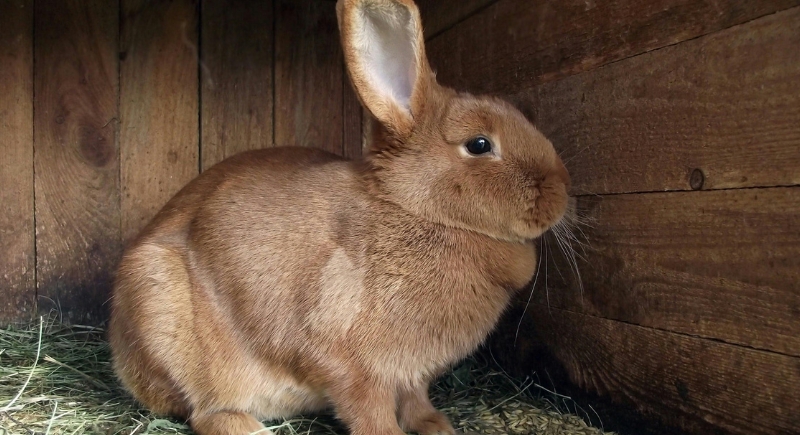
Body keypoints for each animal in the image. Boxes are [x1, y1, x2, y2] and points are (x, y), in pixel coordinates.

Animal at [107, 0, 571, 434]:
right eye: (479, 144)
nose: (561, 192)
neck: (415, 210)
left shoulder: (411, 374)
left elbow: (416, 399)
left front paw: (436, 426)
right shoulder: (348, 359)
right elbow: (368, 408)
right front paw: (394, 434)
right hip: (167, 323)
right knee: (203, 410)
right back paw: (249, 428)